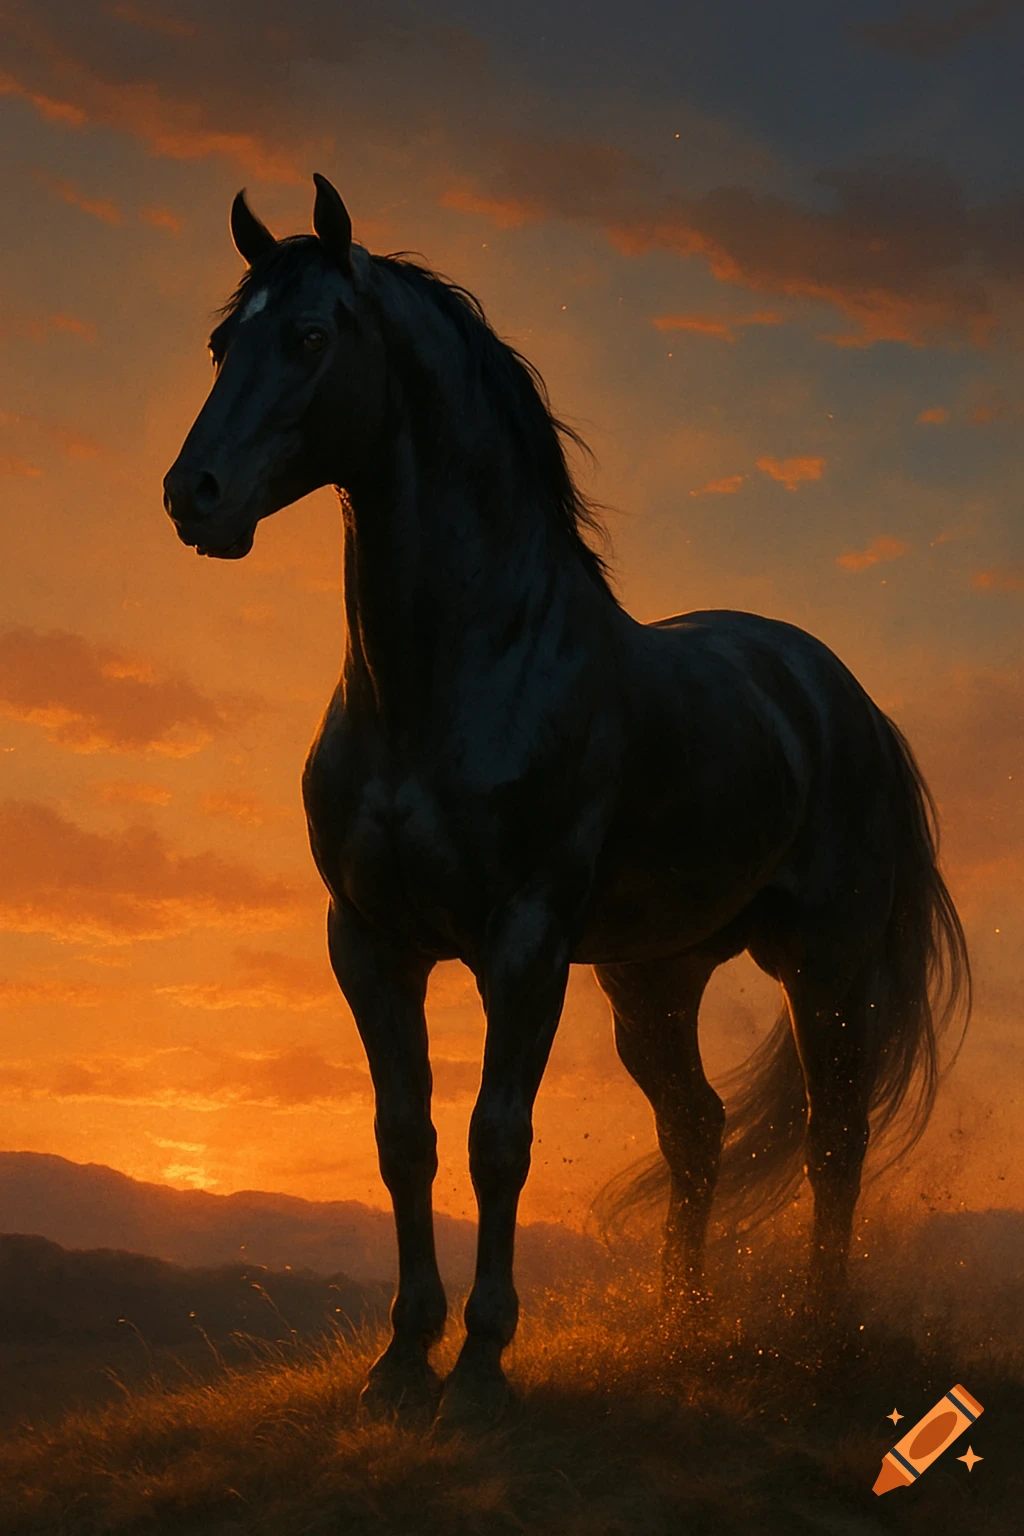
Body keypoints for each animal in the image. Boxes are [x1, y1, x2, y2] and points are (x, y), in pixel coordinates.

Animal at [163, 174, 970, 1428]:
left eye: (308, 337)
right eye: (218, 343)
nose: (192, 496)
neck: (451, 678)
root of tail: (842, 699)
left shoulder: (525, 943)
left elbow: (498, 1139)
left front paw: (481, 1367)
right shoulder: (370, 944)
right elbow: (405, 1139)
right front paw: (401, 1362)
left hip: (823, 967)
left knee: (834, 1136)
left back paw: (815, 1334)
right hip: (655, 978)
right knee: (697, 1130)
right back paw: (684, 1328)